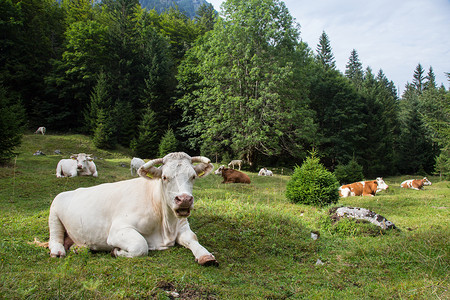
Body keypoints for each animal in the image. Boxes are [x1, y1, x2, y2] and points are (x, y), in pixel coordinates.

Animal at [47, 152, 216, 264]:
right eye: (164, 177)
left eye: (193, 176)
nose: (184, 199)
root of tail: (72, 191)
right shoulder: (117, 230)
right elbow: (140, 246)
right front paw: (116, 251)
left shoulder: (182, 226)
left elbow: (192, 238)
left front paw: (205, 255)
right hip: (54, 213)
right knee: (55, 237)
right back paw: (58, 251)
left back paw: (78, 248)